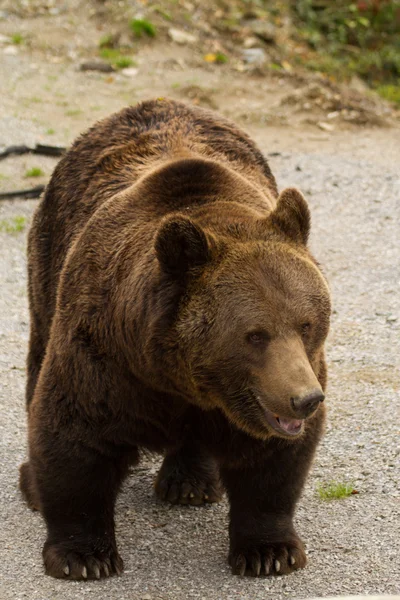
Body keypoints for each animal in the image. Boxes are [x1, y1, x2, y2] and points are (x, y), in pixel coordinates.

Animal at [20, 98, 330, 580]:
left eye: (306, 323)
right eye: (254, 335)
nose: (305, 399)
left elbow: (273, 462)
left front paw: (270, 550)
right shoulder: (103, 351)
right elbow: (73, 433)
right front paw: (83, 556)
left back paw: (190, 482)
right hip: (49, 261)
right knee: (38, 359)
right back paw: (31, 484)